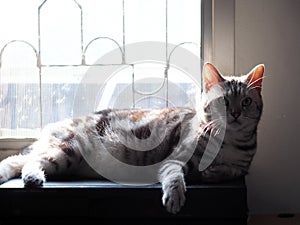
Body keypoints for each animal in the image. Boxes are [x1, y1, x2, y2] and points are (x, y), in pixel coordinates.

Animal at [0, 62, 264, 214]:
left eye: (246, 101)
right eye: (224, 101)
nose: (235, 113)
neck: (228, 143)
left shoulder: (243, 166)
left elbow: (233, 170)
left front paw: (214, 172)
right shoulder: (174, 160)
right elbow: (174, 177)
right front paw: (175, 196)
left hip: (63, 158)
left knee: (16, 160)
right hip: (67, 152)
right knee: (29, 162)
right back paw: (33, 177)